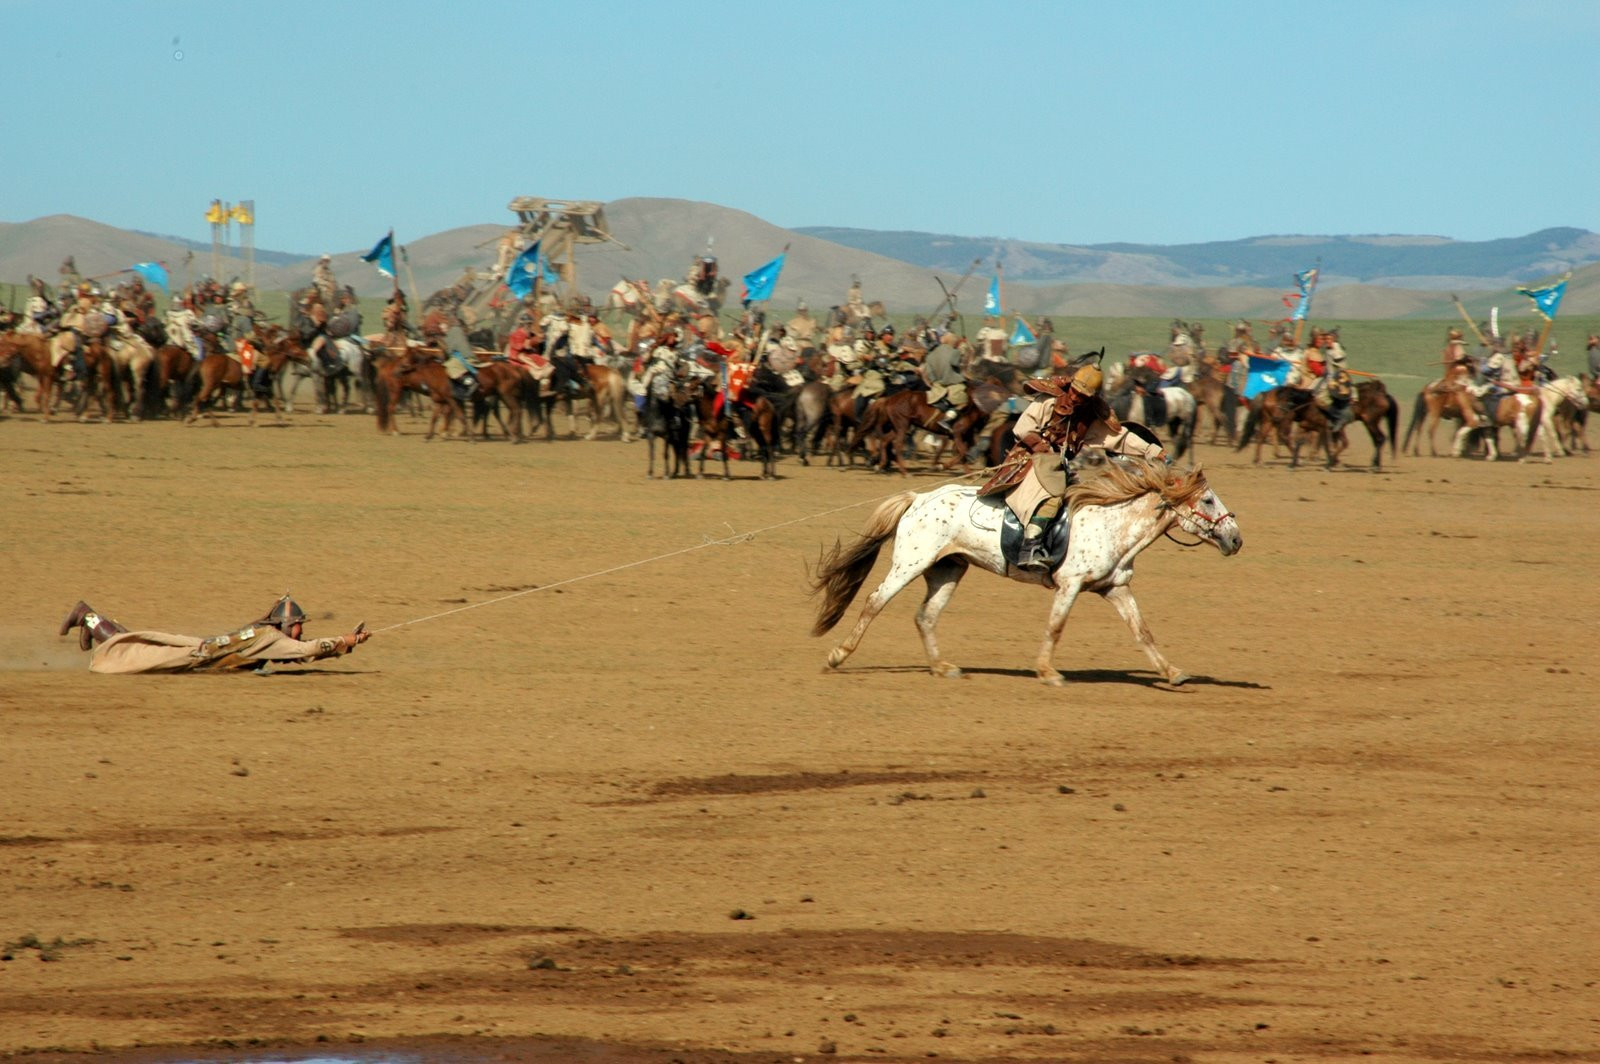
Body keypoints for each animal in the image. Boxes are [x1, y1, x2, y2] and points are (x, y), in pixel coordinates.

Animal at [812, 460, 1235, 684]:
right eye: (1208, 501)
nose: (1236, 538)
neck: (1112, 524)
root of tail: (919, 498)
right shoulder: (1070, 585)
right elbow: (1056, 627)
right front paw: (1047, 672)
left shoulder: (1115, 588)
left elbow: (1143, 632)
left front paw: (1173, 672)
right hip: (910, 563)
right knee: (874, 601)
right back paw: (836, 656)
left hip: (948, 569)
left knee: (925, 616)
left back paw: (942, 667)